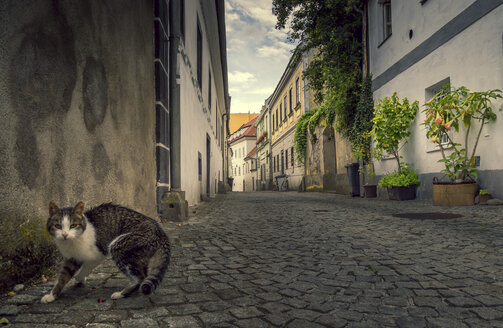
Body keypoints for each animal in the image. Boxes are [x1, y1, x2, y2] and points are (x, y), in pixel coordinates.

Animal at [41, 201, 171, 304]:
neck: (70, 242)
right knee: (143, 273)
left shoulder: (98, 254)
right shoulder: (72, 258)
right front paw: (52, 295)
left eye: (73, 225)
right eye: (58, 226)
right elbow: (63, 277)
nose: (65, 234)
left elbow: (85, 268)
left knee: (140, 278)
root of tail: (161, 233)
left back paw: (121, 293)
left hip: (118, 245)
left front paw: (79, 278)